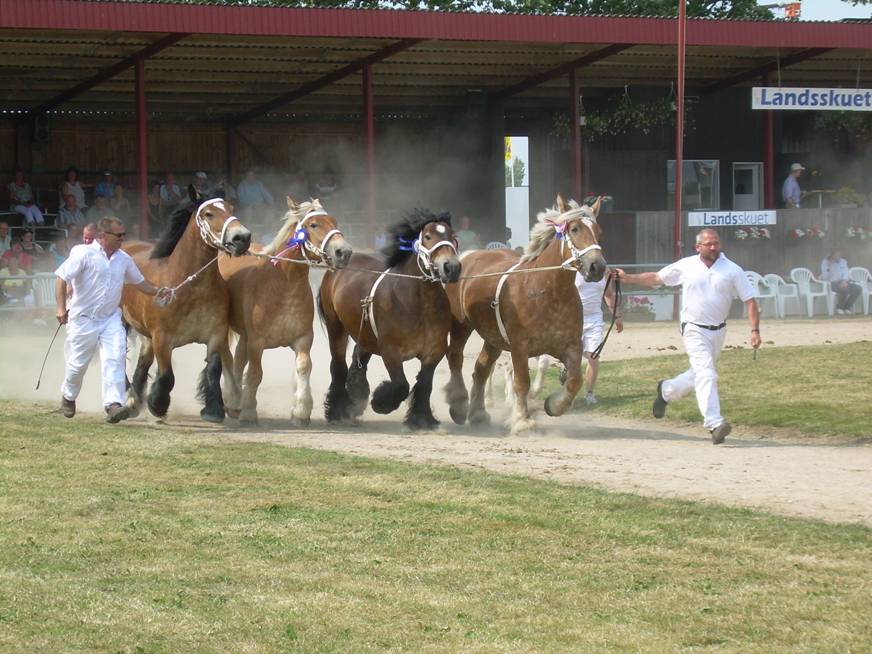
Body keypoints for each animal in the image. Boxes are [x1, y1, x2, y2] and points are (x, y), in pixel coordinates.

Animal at [118, 188, 252, 426]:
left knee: (143, 360)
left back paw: (135, 399)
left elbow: (214, 369)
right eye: (208, 213)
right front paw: (157, 404)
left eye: (231, 208)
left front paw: (213, 409)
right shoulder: (163, 338)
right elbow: (166, 376)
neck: (189, 286)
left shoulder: (215, 334)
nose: (242, 238)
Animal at [220, 197, 352, 428]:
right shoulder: (257, 343)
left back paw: (234, 402)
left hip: (245, 336)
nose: (343, 252)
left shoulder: (303, 339)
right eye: (313, 224)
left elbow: (304, 367)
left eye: (334, 221)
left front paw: (300, 412)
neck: (282, 283)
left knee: (238, 360)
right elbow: (255, 373)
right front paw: (249, 412)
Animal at [318, 208, 464, 428]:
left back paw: (356, 396)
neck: (418, 304)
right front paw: (380, 403)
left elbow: (425, 384)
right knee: (338, 365)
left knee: (359, 357)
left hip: (366, 333)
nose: (451, 267)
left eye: (453, 237)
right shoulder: (391, 351)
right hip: (336, 326)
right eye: (428, 236)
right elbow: (401, 385)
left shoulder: (434, 351)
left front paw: (422, 419)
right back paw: (339, 411)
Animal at [442, 197, 608, 438]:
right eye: (575, 229)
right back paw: (459, 405)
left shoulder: (570, 346)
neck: (547, 290)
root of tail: (469, 255)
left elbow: (574, 380)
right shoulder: (519, 347)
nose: (597, 267)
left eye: (599, 231)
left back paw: (479, 414)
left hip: (493, 339)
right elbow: (522, 382)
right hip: (461, 326)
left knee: (481, 370)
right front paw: (522, 421)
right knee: (455, 358)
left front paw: (553, 405)